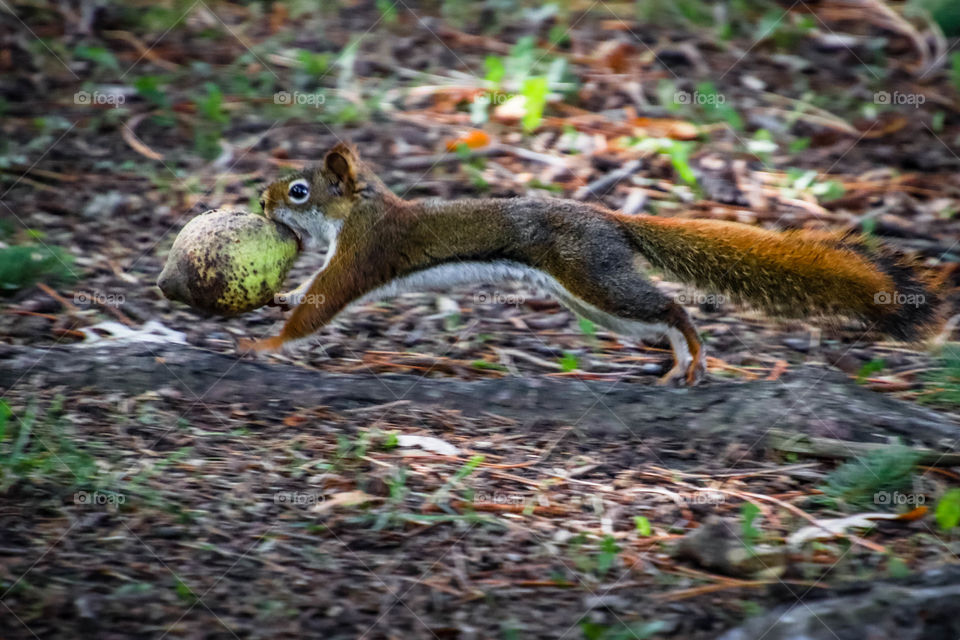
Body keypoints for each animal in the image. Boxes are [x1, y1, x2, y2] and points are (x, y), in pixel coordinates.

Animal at [237, 142, 940, 385]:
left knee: (672, 306)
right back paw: (674, 360)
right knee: (655, 316)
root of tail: (611, 220)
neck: (362, 209)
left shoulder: (362, 254)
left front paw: (264, 344)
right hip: (589, 298)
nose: (262, 200)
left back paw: (692, 354)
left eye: (298, 191)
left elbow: (321, 303)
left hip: (594, 278)